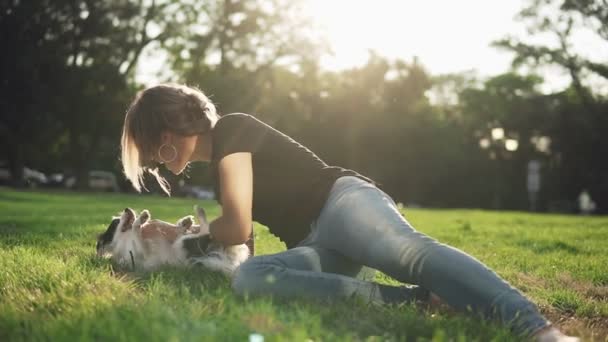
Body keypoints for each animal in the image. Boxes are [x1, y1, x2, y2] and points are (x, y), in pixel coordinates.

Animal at [98, 206, 251, 276]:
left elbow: (178, 229)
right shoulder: (141, 251)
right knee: (205, 230)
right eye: (116, 222)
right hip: (181, 245)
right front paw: (142, 218)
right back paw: (200, 213)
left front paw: (184, 223)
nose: (127, 209)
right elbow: (136, 228)